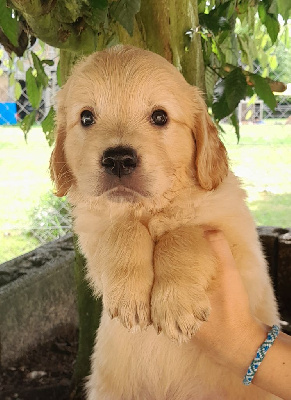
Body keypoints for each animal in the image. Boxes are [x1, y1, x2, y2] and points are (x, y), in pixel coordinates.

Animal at [50, 45, 280, 398]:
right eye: (86, 117)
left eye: (160, 117)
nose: (118, 159)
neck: (151, 209)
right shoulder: (93, 233)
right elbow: (122, 229)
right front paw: (129, 295)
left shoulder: (237, 240)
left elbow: (183, 235)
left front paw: (175, 303)